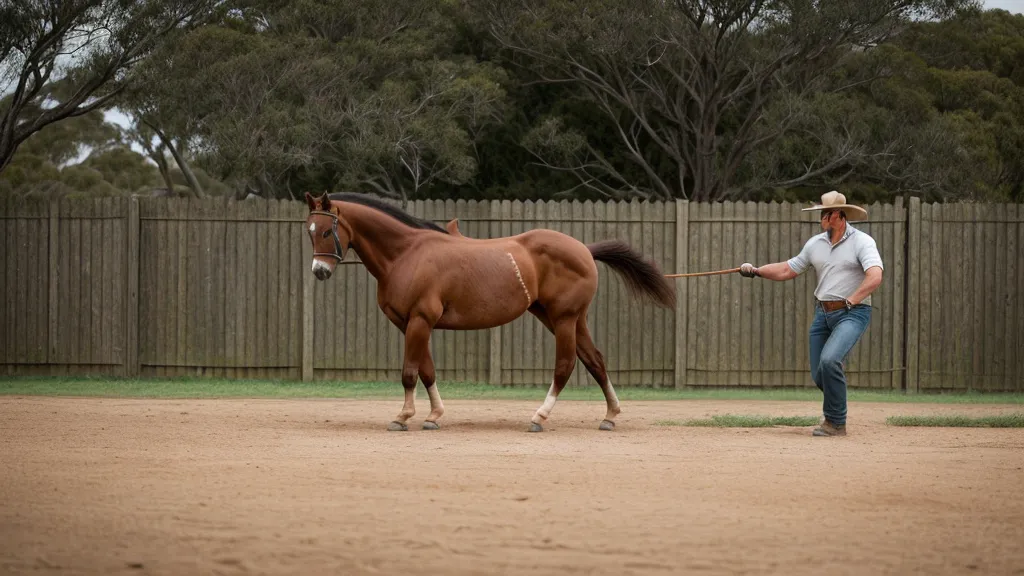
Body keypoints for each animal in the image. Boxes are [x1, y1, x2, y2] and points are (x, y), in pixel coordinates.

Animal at [303, 192, 676, 432]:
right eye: (308, 231)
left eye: (327, 230)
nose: (319, 271)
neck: (407, 253)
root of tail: (583, 248)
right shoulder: (411, 324)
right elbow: (427, 371)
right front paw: (434, 416)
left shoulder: (420, 321)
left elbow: (410, 372)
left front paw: (403, 416)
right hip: (566, 319)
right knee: (595, 361)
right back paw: (610, 415)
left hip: (564, 319)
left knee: (566, 366)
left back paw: (539, 417)